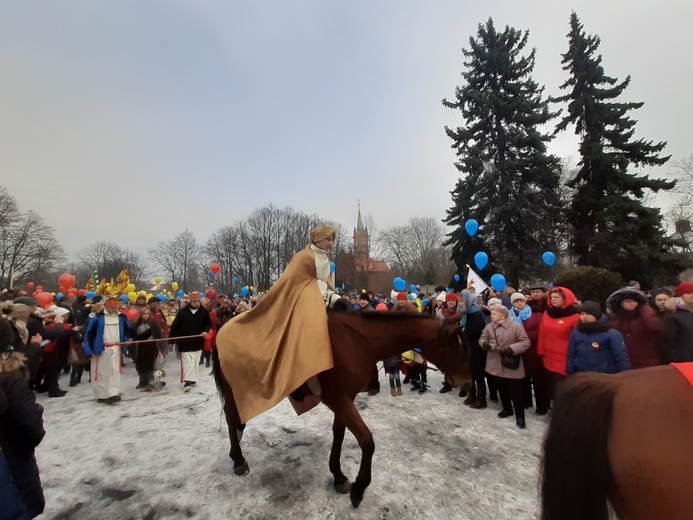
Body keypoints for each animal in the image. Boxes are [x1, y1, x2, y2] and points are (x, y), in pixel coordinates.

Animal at [212, 310, 470, 506]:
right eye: (454, 346)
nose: (466, 382)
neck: (356, 342)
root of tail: (224, 327)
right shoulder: (339, 399)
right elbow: (366, 440)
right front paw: (359, 487)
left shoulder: (346, 399)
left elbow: (339, 433)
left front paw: (338, 476)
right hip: (234, 389)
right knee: (232, 418)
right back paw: (238, 459)